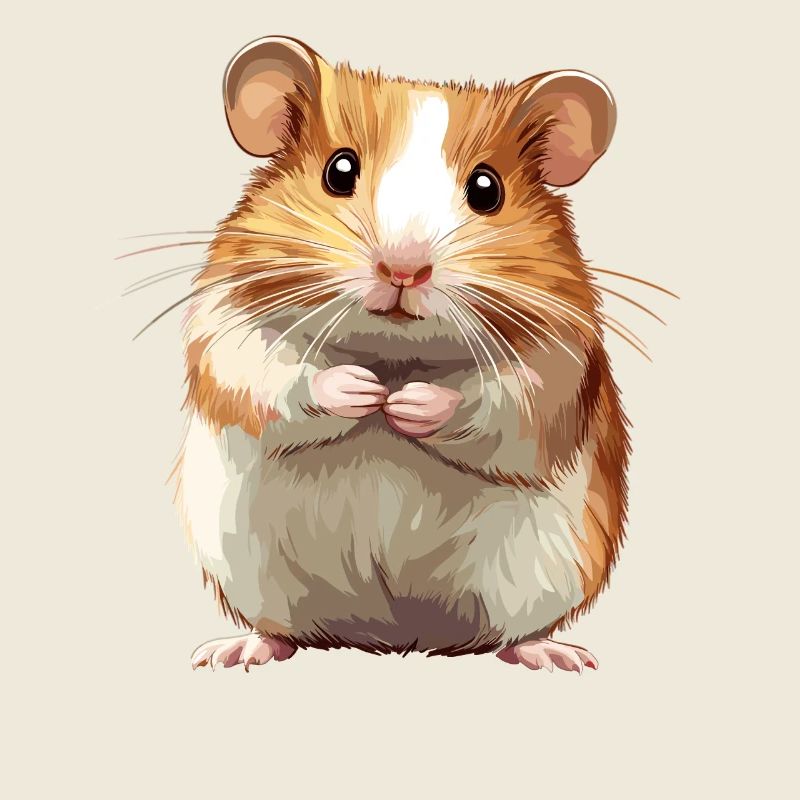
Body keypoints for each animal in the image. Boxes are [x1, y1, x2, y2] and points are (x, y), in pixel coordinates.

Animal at [175, 35, 629, 672]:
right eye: (339, 170)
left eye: (487, 188)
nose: (403, 269)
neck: (391, 353)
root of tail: (396, 638)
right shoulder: (224, 327)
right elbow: (269, 376)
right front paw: (362, 392)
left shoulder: (562, 360)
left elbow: (501, 402)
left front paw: (408, 404)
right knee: (279, 628)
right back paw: (234, 651)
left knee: (517, 634)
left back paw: (557, 656)